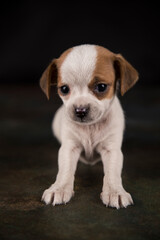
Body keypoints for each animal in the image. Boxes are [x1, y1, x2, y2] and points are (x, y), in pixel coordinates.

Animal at [39, 44, 138, 208]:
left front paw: (115, 191)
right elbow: (65, 170)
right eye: (64, 89)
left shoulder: (112, 150)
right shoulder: (69, 148)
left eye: (101, 87)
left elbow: (112, 173)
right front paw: (59, 188)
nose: (80, 110)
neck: (90, 128)